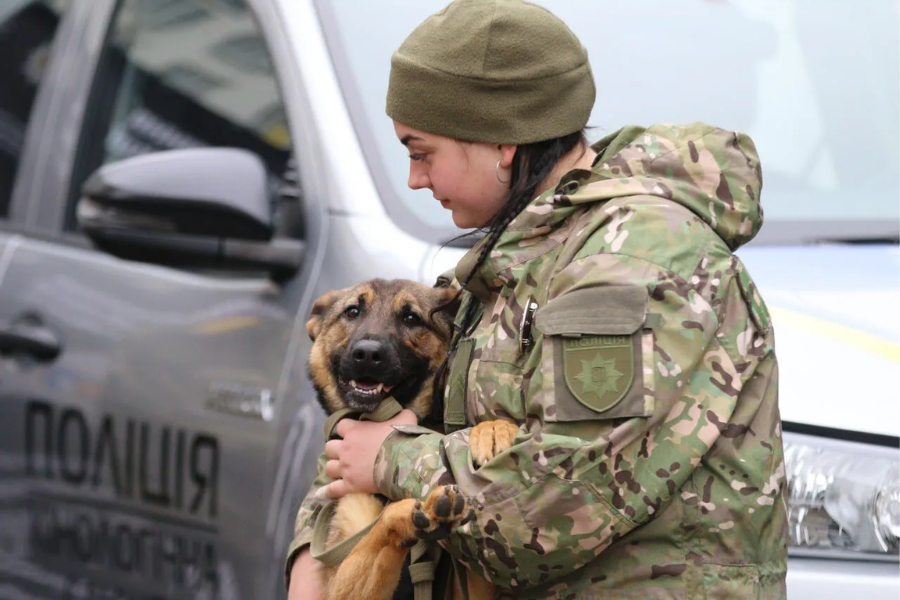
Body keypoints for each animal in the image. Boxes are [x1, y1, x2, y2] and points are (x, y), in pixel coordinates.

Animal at [308, 280, 506, 600]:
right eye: (352, 312)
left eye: (411, 318)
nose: (367, 354)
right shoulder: (339, 586)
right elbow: (382, 524)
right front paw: (420, 510)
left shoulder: (475, 587)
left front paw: (494, 429)